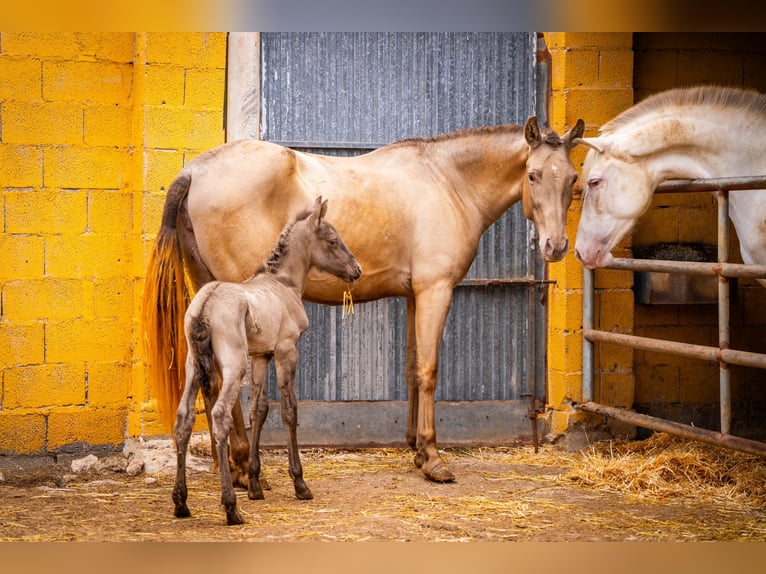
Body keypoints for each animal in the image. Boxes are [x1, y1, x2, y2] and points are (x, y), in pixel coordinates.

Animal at [143, 115, 585, 484]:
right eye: (533, 175)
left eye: (573, 179)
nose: (556, 246)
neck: (447, 181)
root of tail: (194, 171)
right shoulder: (435, 290)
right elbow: (429, 371)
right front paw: (433, 459)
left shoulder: (414, 295)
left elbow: (412, 369)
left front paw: (416, 450)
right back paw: (244, 468)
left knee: (212, 382)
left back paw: (235, 466)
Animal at [172, 197, 362, 525]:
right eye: (332, 240)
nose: (357, 270)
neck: (283, 283)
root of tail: (205, 304)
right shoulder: (287, 351)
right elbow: (289, 411)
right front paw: (300, 483)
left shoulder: (262, 355)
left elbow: (258, 411)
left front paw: (255, 485)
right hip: (234, 365)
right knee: (220, 416)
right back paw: (231, 507)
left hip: (194, 366)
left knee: (183, 418)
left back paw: (181, 503)